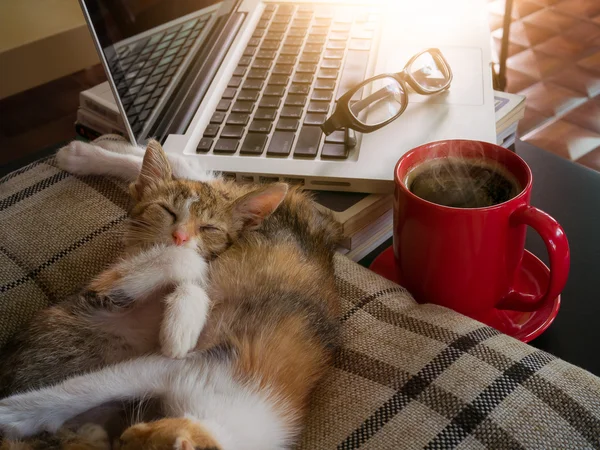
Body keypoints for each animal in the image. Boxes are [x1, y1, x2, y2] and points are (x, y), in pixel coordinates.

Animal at [0, 139, 342, 448]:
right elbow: (90, 386)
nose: (122, 435)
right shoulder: (187, 366)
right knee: (185, 168)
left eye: (128, 442)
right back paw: (86, 153)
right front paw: (14, 413)